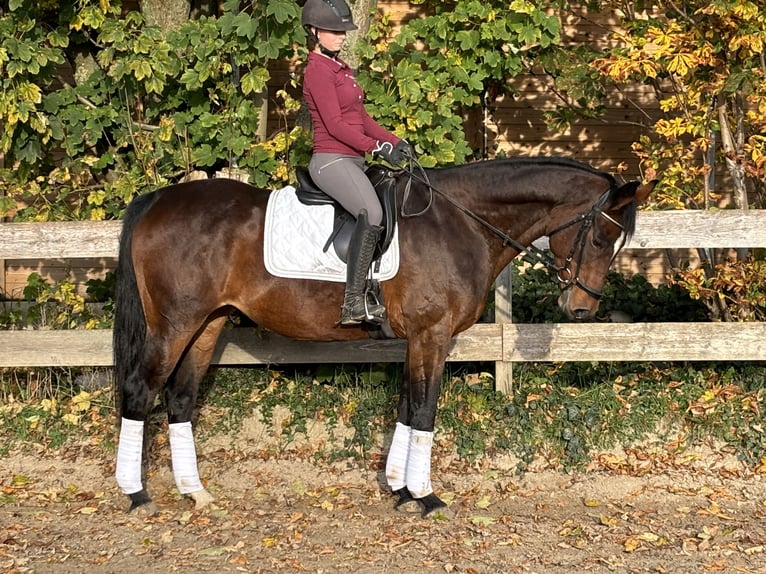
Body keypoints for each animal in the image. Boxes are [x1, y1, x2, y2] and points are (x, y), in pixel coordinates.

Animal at [111, 156, 656, 516]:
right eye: (601, 237)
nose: (581, 308)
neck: (460, 221)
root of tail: (159, 199)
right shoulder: (433, 335)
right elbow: (425, 410)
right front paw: (426, 496)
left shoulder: (418, 339)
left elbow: (407, 407)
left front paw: (397, 488)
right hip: (175, 324)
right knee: (140, 390)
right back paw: (136, 494)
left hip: (208, 324)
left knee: (180, 399)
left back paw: (195, 491)